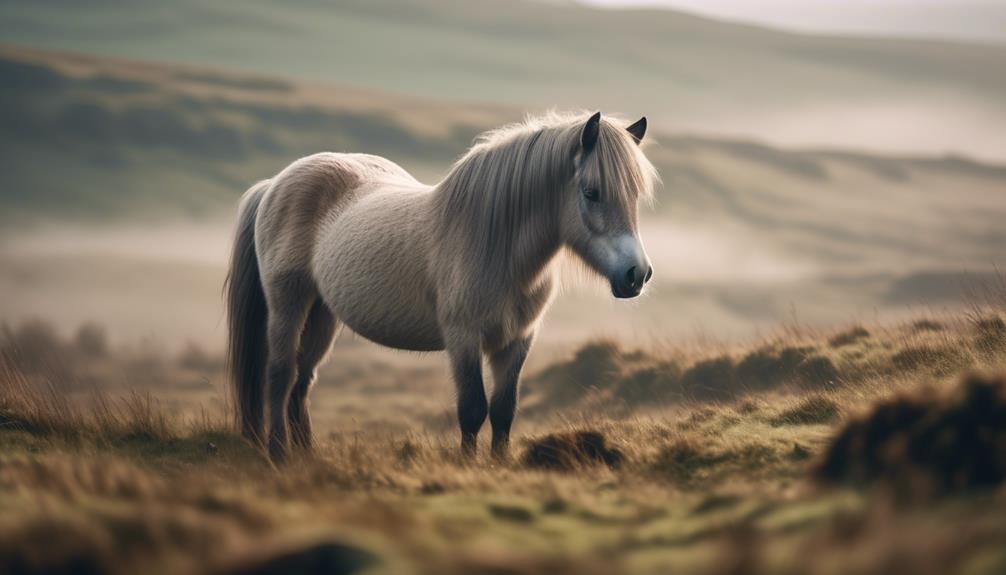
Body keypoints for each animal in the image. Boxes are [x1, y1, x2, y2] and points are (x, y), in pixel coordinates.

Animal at [224, 111, 655, 462]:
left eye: (634, 195)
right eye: (591, 192)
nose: (636, 274)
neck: (495, 246)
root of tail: (275, 183)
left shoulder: (517, 340)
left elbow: (504, 410)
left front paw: (497, 465)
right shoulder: (463, 338)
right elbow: (472, 409)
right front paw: (467, 467)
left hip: (322, 313)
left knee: (302, 382)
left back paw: (307, 455)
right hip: (288, 303)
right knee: (280, 375)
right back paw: (278, 455)